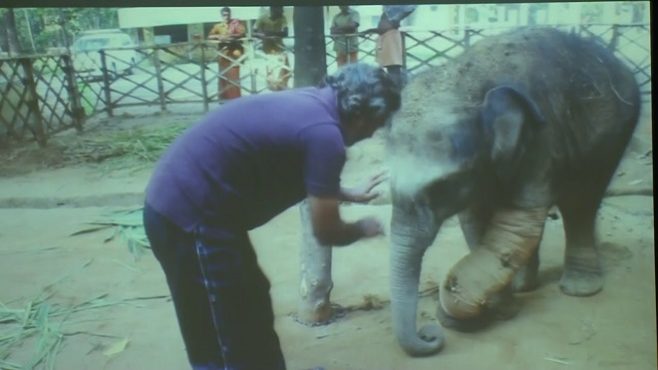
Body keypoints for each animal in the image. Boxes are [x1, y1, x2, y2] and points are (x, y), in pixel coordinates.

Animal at [386, 26, 640, 356]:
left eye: (442, 186)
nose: (428, 333)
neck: (468, 81)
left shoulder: (542, 138)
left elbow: (515, 226)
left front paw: (468, 314)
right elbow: (476, 223)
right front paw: (497, 309)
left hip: (612, 134)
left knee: (581, 200)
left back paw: (580, 288)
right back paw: (524, 285)